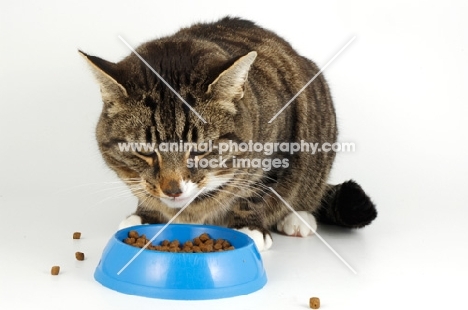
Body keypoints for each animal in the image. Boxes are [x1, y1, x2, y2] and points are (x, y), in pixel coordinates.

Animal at [79, 15, 376, 251]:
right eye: (144, 152)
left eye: (200, 150)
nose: (172, 190)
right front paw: (145, 215)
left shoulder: (279, 146)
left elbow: (253, 189)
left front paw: (247, 227)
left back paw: (297, 217)